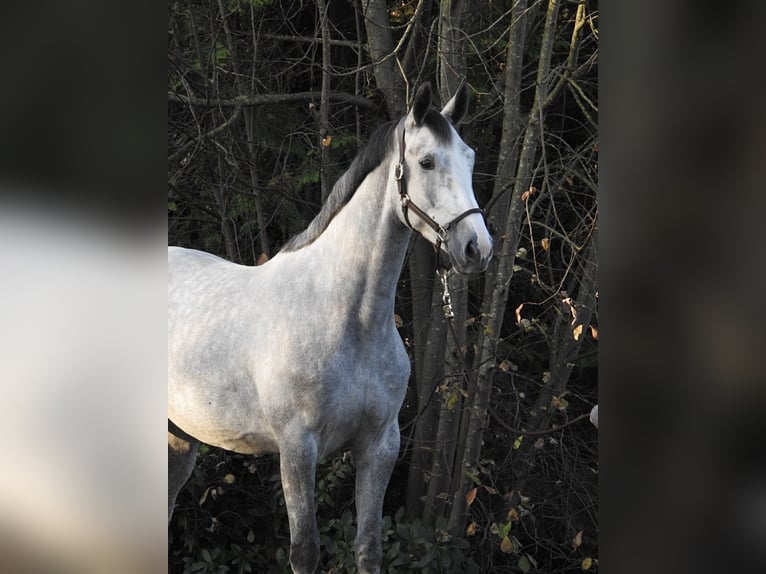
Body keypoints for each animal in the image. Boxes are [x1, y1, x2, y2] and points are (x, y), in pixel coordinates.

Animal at [168, 82, 492, 574]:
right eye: (426, 162)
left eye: (470, 158)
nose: (477, 248)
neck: (348, 319)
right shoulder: (297, 450)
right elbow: (305, 551)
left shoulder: (380, 445)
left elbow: (369, 546)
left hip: (179, 440)